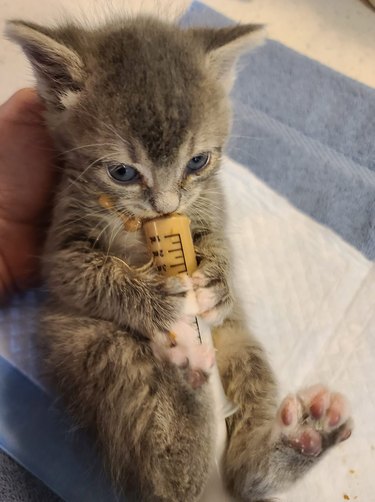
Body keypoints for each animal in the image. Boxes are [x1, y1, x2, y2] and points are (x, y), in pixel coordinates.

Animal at [6, 13, 352, 500]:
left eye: (197, 162)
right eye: (122, 172)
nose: (166, 206)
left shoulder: (211, 203)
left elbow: (219, 242)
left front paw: (218, 281)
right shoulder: (60, 250)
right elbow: (88, 272)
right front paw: (157, 299)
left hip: (237, 342)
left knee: (245, 478)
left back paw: (303, 437)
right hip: (92, 343)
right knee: (166, 466)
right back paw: (184, 369)